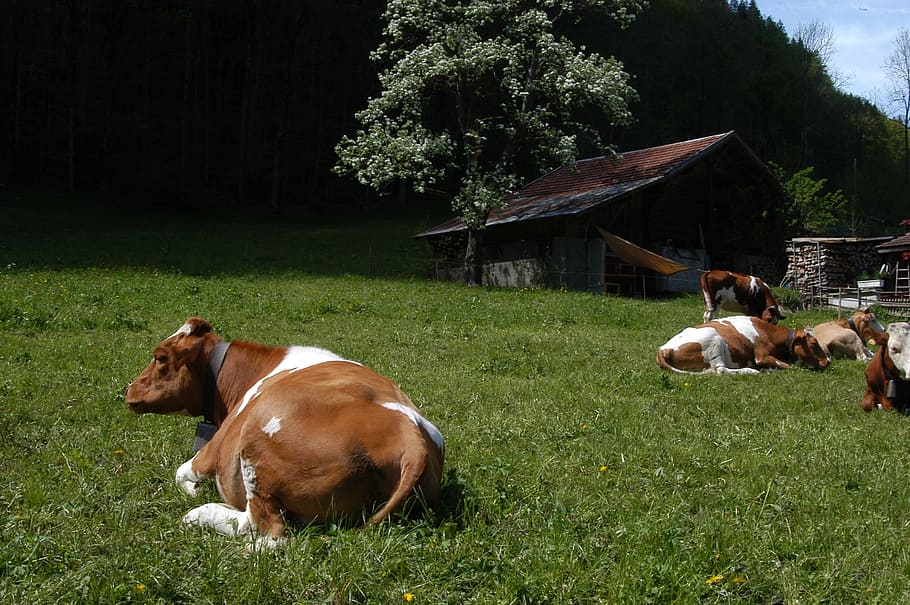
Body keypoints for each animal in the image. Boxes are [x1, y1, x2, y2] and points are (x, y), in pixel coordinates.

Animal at [124, 317, 444, 548]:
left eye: (160, 358)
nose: (128, 389)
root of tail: (410, 435)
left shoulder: (210, 452)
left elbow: (181, 473)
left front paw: (194, 491)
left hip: (255, 446)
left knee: (266, 532)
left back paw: (201, 515)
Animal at [656, 315, 829, 375]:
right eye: (813, 343)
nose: (828, 362)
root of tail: (664, 348)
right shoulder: (761, 356)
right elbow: (787, 366)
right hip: (714, 340)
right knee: (720, 370)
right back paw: (750, 371)